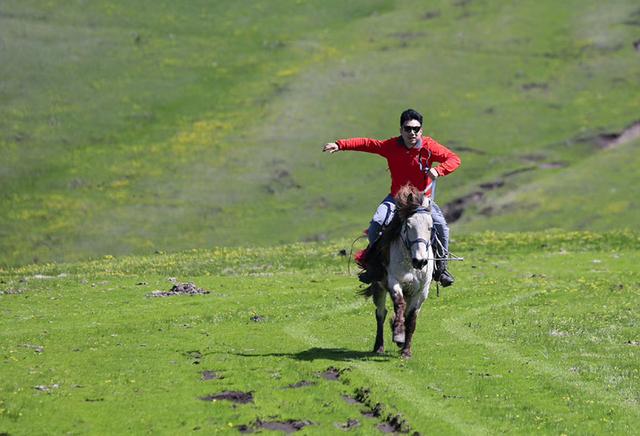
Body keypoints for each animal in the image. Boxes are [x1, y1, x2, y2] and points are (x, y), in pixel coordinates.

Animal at [360, 184, 436, 358]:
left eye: (430, 227)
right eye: (408, 226)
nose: (420, 261)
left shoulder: (421, 291)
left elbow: (411, 318)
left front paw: (406, 350)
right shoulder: (394, 281)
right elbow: (399, 304)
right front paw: (399, 335)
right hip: (379, 287)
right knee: (381, 314)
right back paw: (379, 346)